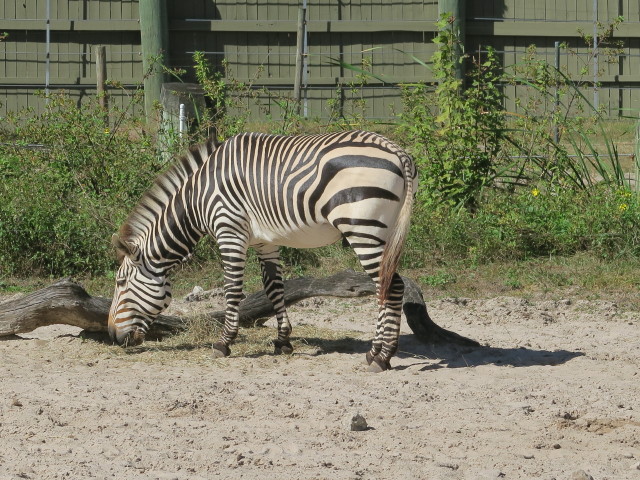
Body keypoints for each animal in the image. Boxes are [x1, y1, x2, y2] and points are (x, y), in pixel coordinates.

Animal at [109, 129, 420, 374]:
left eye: (121, 282)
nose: (112, 335)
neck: (198, 197)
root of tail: (397, 151)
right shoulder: (264, 242)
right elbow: (274, 288)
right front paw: (283, 341)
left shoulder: (230, 231)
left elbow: (232, 290)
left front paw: (224, 343)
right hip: (384, 231)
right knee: (386, 286)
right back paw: (374, 351)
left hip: (363, 228)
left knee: (392, 287)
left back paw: (383, 357)